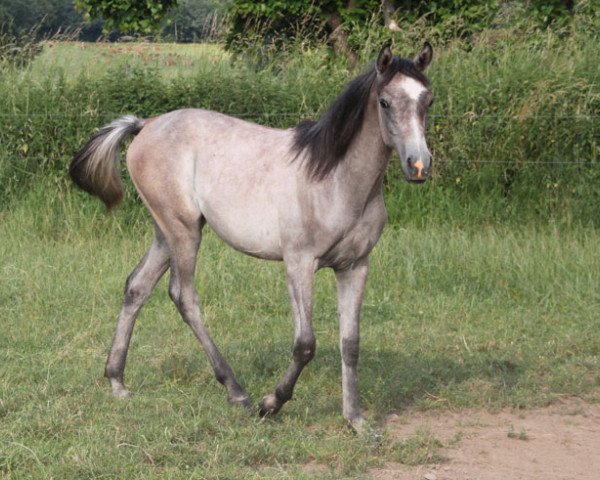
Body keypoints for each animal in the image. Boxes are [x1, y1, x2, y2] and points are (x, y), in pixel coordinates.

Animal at [70, 42, 434, 432]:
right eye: (384, 101)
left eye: (428, 100)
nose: (418, 165)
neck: (336, 179)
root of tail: (145, 125)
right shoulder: (299, 263)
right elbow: (305, 344)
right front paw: (270, 404)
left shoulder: (354, 266)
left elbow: (350, 343)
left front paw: (356, 420)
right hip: (183, 232)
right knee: (183, 296)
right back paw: (237, 391)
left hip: (167, 232)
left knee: (137, 286)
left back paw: (117, 381)